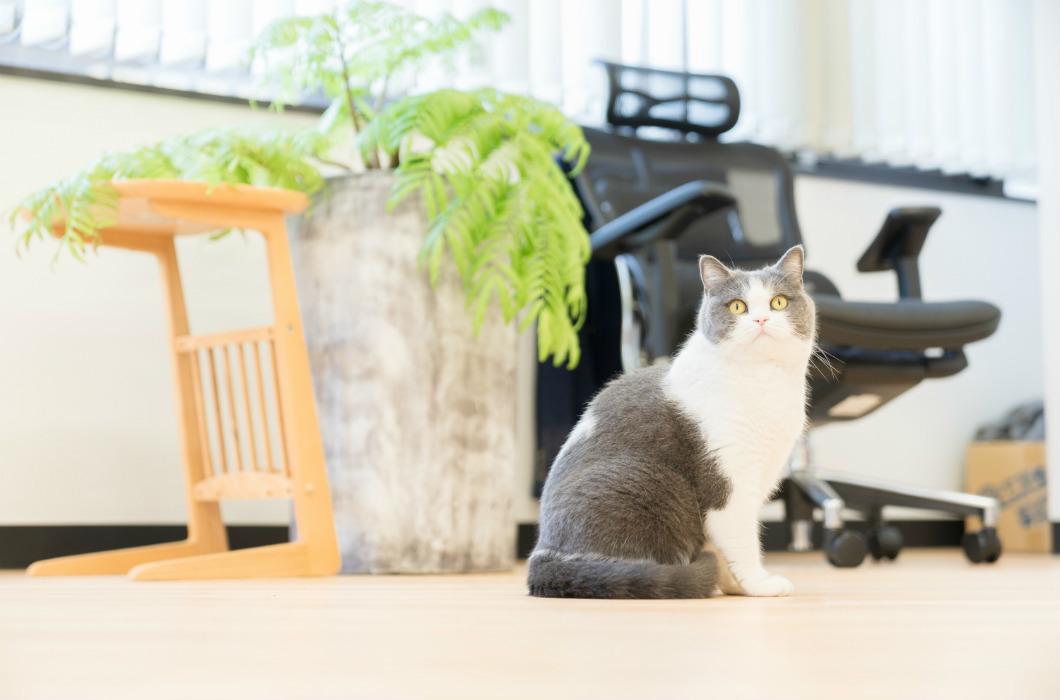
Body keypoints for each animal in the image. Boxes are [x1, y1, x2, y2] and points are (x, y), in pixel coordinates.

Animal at [528, 245, 815, 598]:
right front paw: (758, 585)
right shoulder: (728, 481)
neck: (764, 383)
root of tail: (542, 553)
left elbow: (725, 549)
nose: (761, 319)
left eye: (779, 302)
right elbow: (742, 541)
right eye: (737, 306)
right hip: (648, 481)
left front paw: (733, 587)